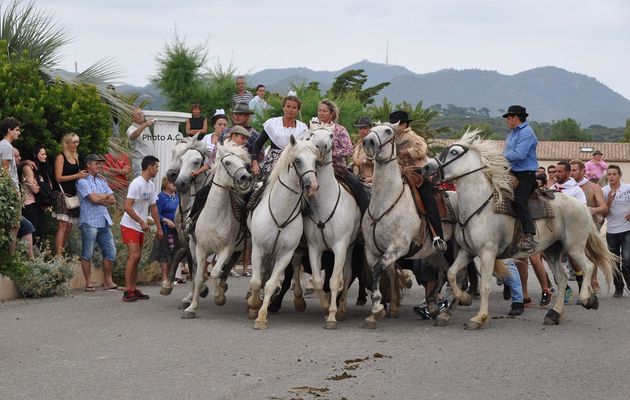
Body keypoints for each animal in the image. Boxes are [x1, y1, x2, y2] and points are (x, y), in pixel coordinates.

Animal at [181, 141, 253, 318]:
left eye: (244, 164)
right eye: (228, 162)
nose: (246, 178)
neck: (214, 216)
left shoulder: (226, 249)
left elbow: (214, 272)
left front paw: (219, 297)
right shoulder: (200, 248)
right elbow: (198, 276)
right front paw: (192, 307)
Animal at [248, 136, 320, 330]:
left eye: (315, 161)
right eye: (298, 160)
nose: (312, 186)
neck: (281, 214)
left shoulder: (285, 254)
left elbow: (271, 284)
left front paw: (261, 317)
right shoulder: (258, 249)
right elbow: (256, 281)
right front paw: (253, 306)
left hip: (292, 252)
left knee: (294, 267)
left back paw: (298, 299)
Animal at [304, 126, 360, 330]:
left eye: (331, 135)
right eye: (311, 135)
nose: (321, 147)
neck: (325, 203)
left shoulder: (340, 246)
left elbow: (335, 281)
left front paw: (332, 316)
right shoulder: (314, 247)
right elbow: (318, 281)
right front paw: (326, 305)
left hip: (350, 248)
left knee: (347, 274)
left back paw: (342, 309)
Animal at [360, 122, 460, 328]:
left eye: (388, 131)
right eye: (372, 128)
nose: (368, 142)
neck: (385, 202)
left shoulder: (398, 247)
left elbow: (378, 270)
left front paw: (378, 309)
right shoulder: (371, 250)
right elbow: (377, 273)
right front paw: (376, 311)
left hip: (454, 248)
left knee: (457, 275)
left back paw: (448, 310)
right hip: (436, 252)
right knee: (443, 273)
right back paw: (432, 306)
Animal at [422, 130, 620, 330]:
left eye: (454, 152)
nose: (426, 168)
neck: (479, 205)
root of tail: (582, 205)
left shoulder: (487, 253)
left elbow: (485, 285)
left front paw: (479, 318)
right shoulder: (467, 251)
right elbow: (451, 273)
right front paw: (464, 298)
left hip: (574, 247)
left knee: (588, 266)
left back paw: (587, 299)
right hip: (552, 250)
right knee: (562, 279)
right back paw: (554, 314)